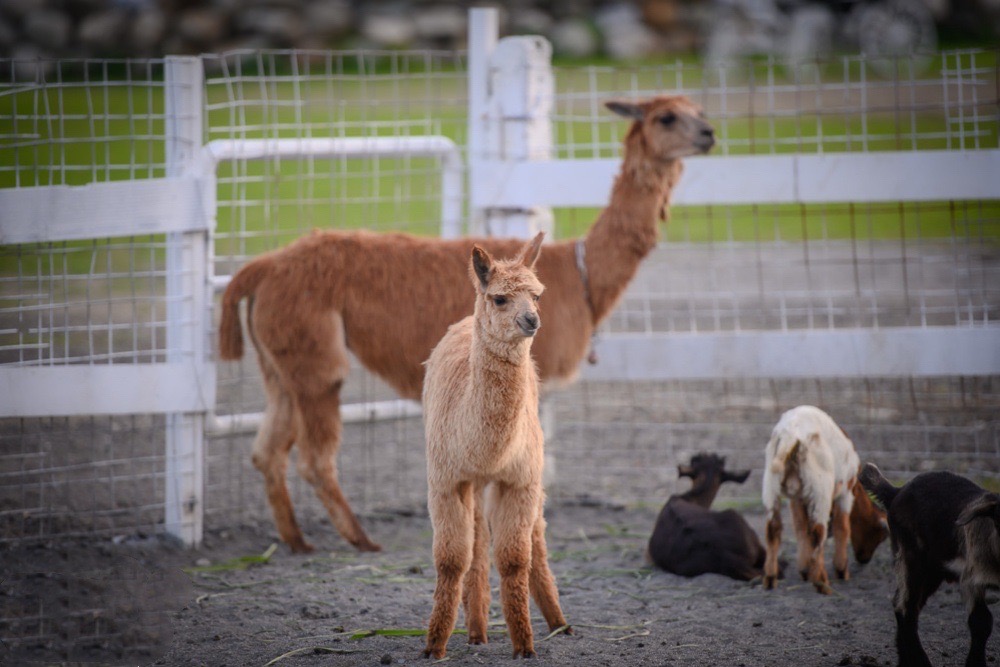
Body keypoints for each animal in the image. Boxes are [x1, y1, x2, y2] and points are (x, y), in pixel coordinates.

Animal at [860, 464, 1000, 667]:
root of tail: (896, 492)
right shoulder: (971, 576)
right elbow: (981, 621)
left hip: (933, 571)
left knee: (904, 602)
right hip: (911, 557)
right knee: (906, 607)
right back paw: (920, 660)